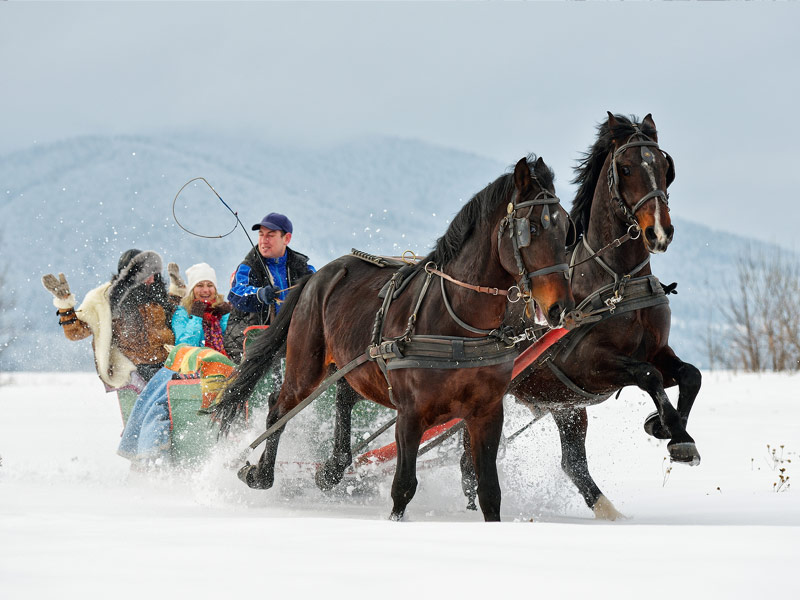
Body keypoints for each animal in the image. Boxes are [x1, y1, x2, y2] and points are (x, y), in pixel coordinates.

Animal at [214, 156, 576, 520]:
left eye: (566, 229)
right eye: (531, 229)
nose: (561, 307)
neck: (459, 326)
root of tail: (318, 276)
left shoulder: (486, 412)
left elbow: (489, 491)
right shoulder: (411, 413)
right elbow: (403, 487)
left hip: (355, 364)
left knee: (343, 397)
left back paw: (331, 468)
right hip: (306, 363)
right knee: (279, 407)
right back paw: (260, 473)